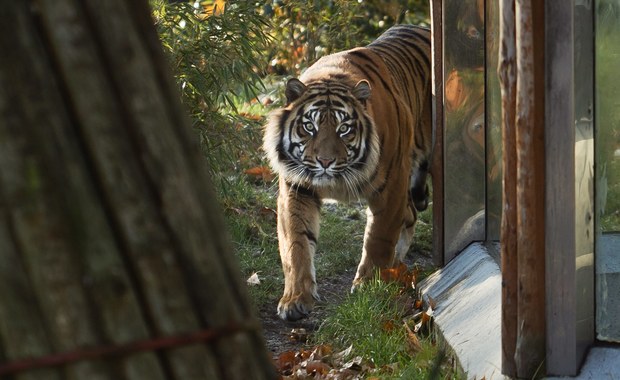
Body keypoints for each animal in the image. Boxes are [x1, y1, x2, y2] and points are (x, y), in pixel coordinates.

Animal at [262, 24, 432, 320]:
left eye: (344, 129)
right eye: (309, 126)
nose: (325, 161)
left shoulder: (391, 186)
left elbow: (378, 238)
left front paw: (368, 286)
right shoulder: (297, 189)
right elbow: (295, 245)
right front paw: (295, 299)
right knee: (410, 213)